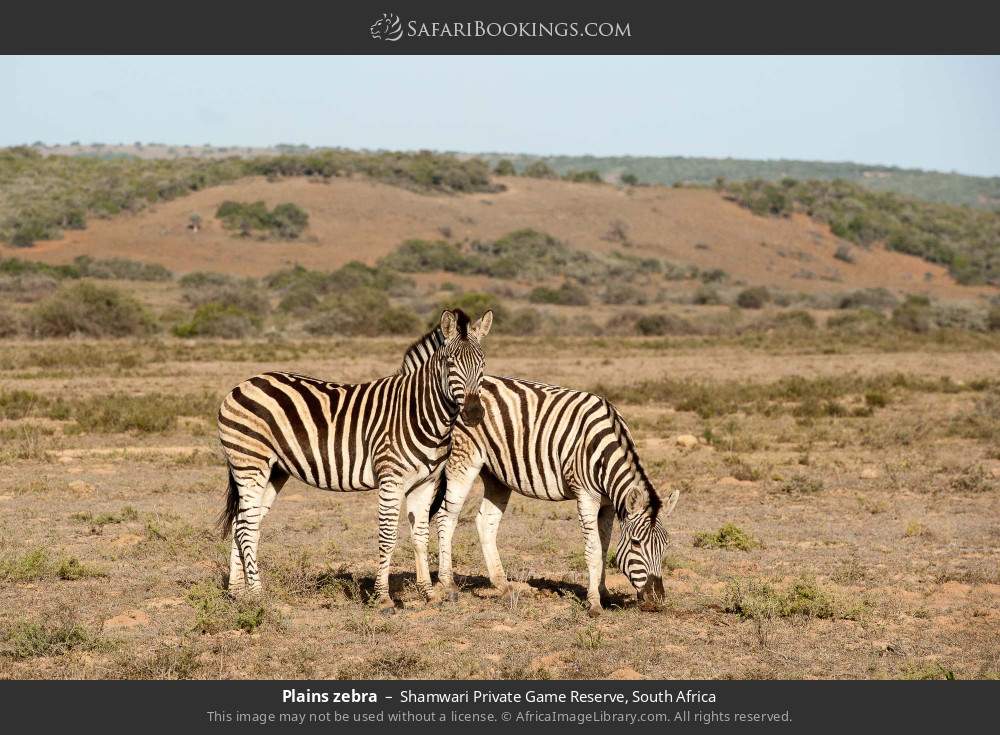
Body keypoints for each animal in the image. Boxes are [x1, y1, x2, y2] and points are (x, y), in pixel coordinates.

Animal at [217, 308, 493, 612]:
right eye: (450, 362)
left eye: (482, 363)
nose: (474, 414)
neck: (420, 413)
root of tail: (244, 384)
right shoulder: (391, 480)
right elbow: (388, 536)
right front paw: (383, 598)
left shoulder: (426, 481)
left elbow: (420, 535)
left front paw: (428, 593)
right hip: (249, 463)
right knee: (245, 527)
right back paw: (257, 595)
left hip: (274, 471)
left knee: (243, 523)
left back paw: (237, 592)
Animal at [398, 327, 678, 617]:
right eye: (635, 543)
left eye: (666, 545)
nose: (656, 601)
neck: (604, 449)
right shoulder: (586, 495)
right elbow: (592, 550)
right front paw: (593, 603)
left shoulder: (608, 503)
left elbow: (603, 546)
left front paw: (603, 593)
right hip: (463, 461)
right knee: (447, 516)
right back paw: (449, 584)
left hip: (496, 475)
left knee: (485, 522)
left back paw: (504, 586)